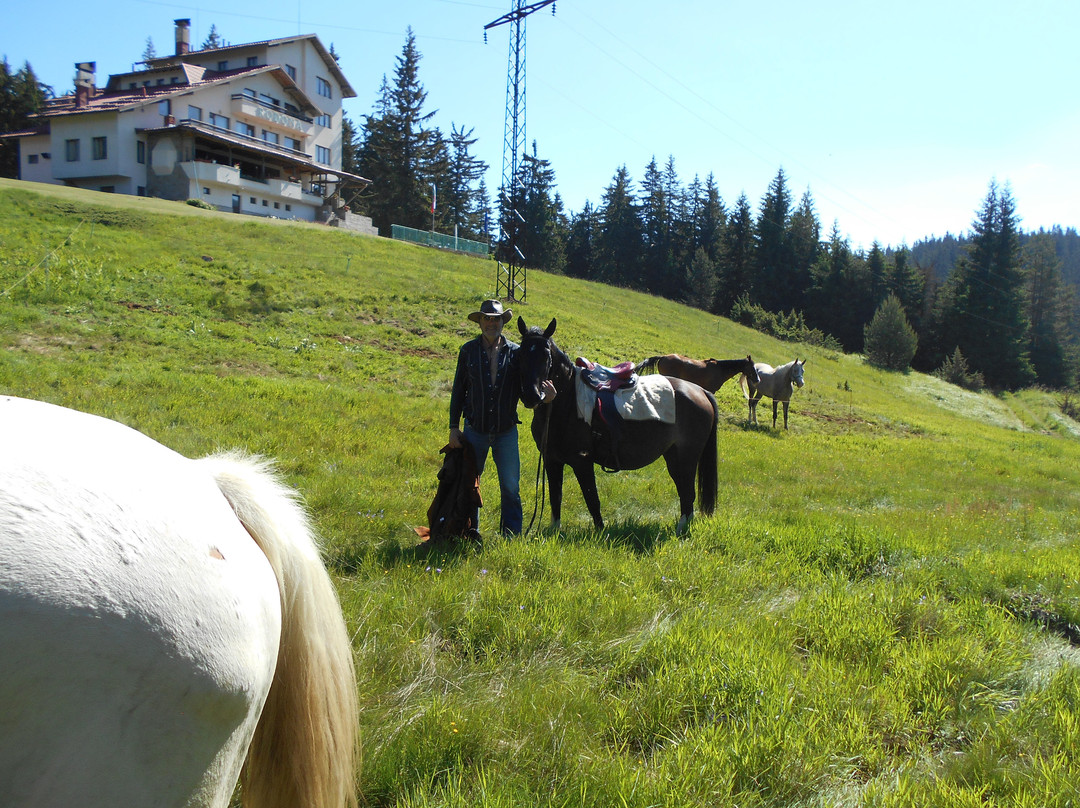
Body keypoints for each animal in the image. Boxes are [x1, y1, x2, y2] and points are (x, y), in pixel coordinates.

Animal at [517, 318, 718, 535]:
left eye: (546, 356)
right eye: (520, 353)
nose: (531, 395)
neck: (567, 400)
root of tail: (701, 391)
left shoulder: (581, 462)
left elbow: (592, 499)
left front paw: (600, 532)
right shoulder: (552, 460)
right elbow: (556, 497)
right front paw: (554, 531)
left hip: (687, 458)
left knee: (688, 493)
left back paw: (680, 531)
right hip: (674, 457)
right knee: (684, 492)